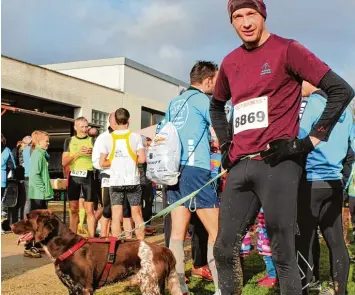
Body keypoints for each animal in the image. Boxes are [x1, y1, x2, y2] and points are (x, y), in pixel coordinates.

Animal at [11, 210, 184, 295]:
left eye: (27, 218)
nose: (10, 225)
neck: (65, 246)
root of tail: (163, 249)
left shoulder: (85, 288)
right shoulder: (72, 289)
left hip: (150, 286)